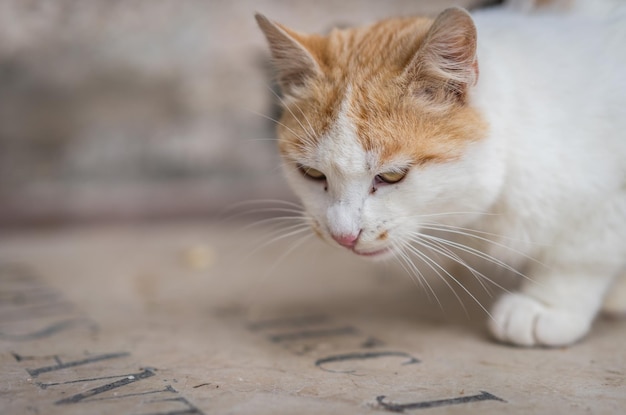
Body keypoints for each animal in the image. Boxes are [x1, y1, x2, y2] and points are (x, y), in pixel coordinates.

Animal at [255, 4, 624, 348]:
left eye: (392, 176)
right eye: (312, 173)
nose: (344, 236)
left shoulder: (608, 197)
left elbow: (580, 254)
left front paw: (547, 304)